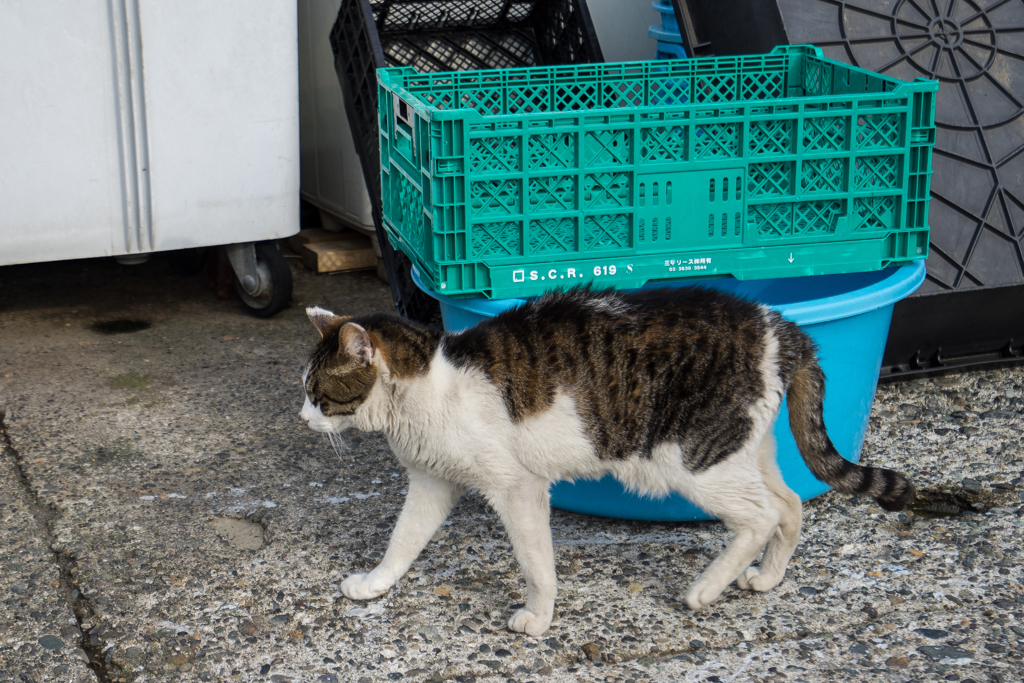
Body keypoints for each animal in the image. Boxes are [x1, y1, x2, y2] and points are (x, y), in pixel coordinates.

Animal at [299, 286, 917, 638]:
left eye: (318, 393)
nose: (302, 418)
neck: (429, 386)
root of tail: (780, 327)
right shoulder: (432, 483)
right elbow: (402, 541)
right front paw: (375, 584)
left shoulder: (518, 488)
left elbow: (536, 564)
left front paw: (538, 619)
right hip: (744, 449)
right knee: (789, 506)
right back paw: (766, 577)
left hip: (693, 461)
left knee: (760, 516)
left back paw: (706, 589)